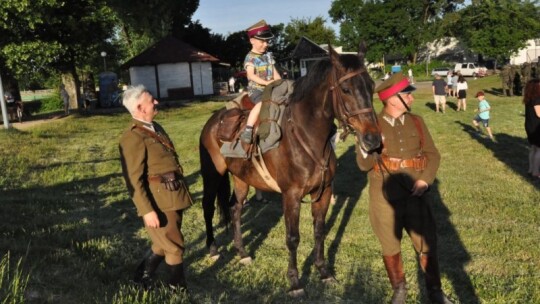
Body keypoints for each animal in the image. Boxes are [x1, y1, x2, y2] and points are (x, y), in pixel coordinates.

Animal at [198, 42, 380, 294]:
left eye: (371, 86)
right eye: (345, 89)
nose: (373, 140)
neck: (307, 137)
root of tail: (213, 121)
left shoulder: (323, 193)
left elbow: (319, 231)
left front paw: (324, 272)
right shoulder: (291, 195)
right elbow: (293, 238)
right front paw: (295, 281)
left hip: (241, 178)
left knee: (235, 209)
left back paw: (242, 253)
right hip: (212, 174)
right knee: (207, 207)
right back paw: (214, 249)